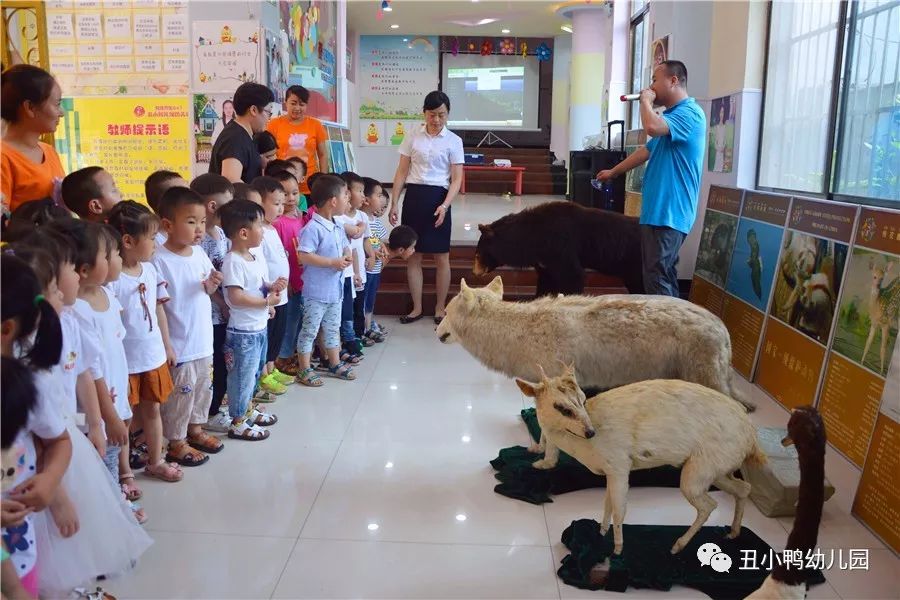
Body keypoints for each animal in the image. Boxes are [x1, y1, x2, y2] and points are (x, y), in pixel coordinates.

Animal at [474, 202, 644, 296]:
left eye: (477, 255)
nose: (475, 272)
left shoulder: (559, 246)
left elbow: (573, 276)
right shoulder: (545, 261)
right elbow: (546, 281)